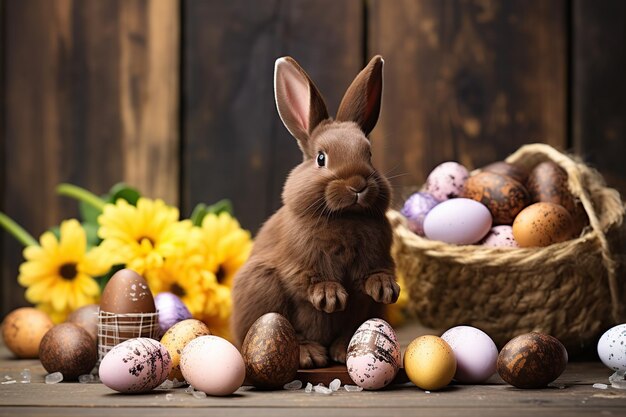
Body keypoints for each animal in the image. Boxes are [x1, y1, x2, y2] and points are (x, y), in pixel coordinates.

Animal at [230, 54, 400, 368]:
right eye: (321, 158)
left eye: (369, 155)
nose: (357, 185)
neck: (345, 217)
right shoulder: (300, 262)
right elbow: (309, 280)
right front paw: (330, 297)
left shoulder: (378, 257)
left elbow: (375, 274)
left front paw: (385, 289)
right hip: (261, 286)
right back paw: (309, 354)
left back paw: (342, 349)